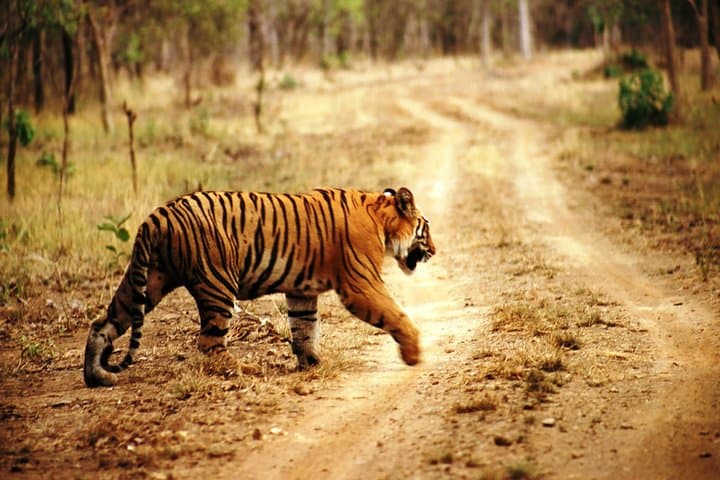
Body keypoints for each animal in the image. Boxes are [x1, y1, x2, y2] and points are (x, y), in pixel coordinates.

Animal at [83, 187, 435, 386]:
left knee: (103, 323)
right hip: (218, 283)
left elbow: (304, 327)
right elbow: (395, 314)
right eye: (426, 228)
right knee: (209, 343)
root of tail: (155, 217)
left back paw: (96, 376)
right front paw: (414, 353)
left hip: (149, 282)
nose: (434, 250)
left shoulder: (301, 291)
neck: (380, 217)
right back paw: (243, 369)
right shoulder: (361, 285)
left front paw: (311, 363)